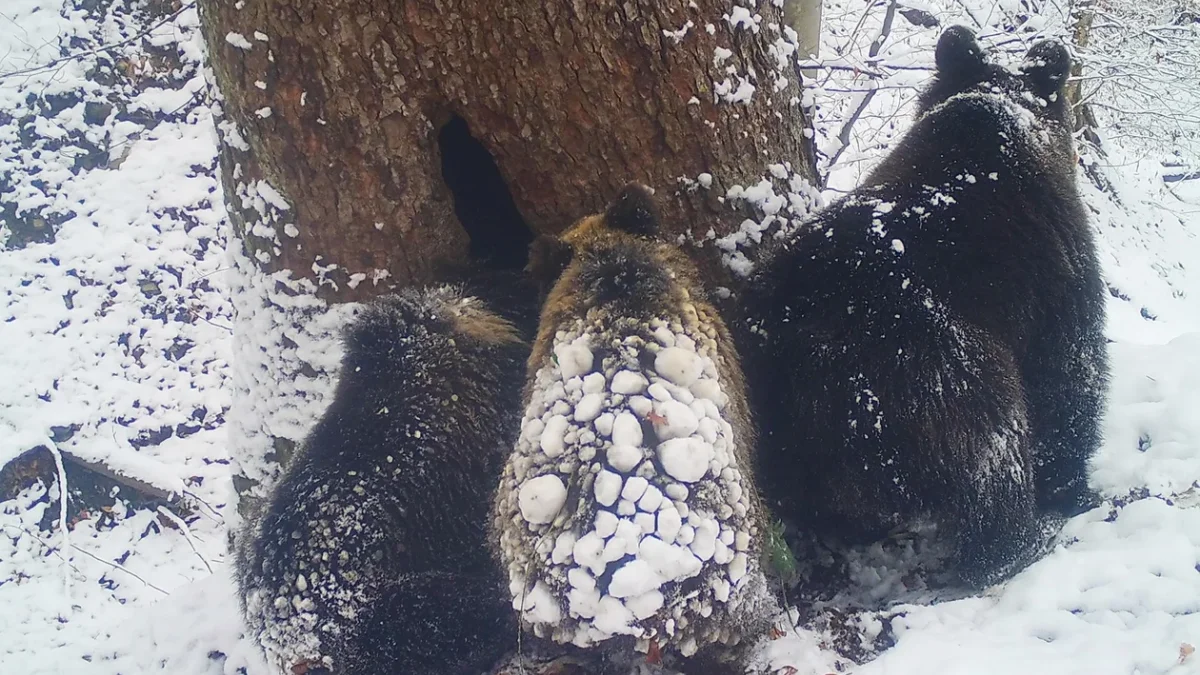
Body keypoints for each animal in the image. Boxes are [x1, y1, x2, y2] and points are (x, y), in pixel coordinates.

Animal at [744, 23, 1108, 586]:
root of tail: (811, 341)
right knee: (992, 446)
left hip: (779, 413)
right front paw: (1072, 490)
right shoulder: (1057, 284)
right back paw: (1017, 544)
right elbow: (1068, 383)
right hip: (934, 366)